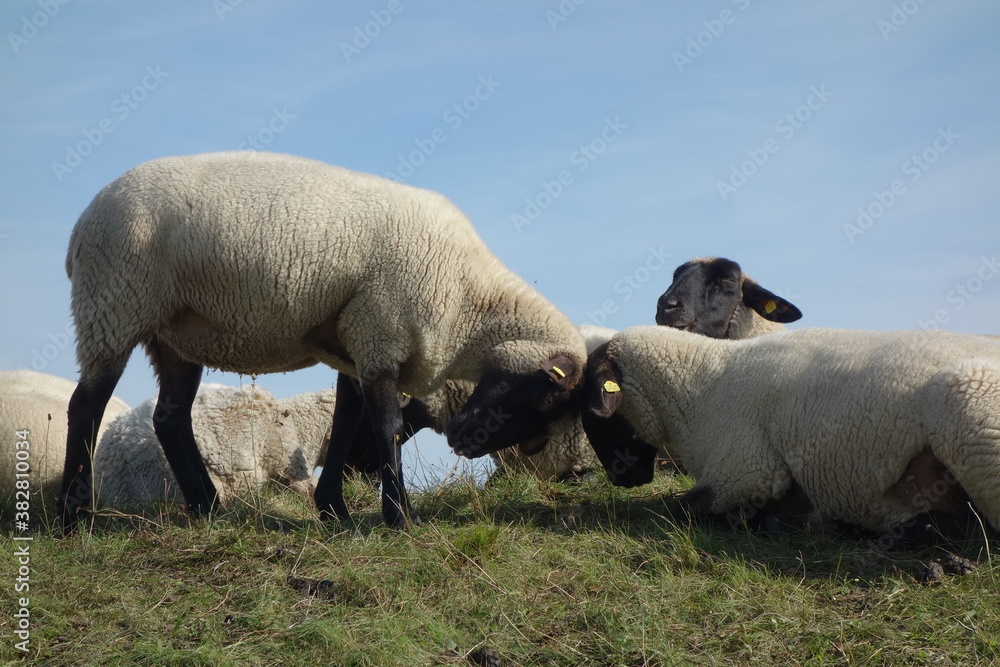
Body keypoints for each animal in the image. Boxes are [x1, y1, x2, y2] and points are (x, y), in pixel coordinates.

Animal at [580, 325, 1000, 542]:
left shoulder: (750, 471)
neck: (703, 385)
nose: (620, 480)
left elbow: (677, 508)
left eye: (594, 415)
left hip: (969, 403)